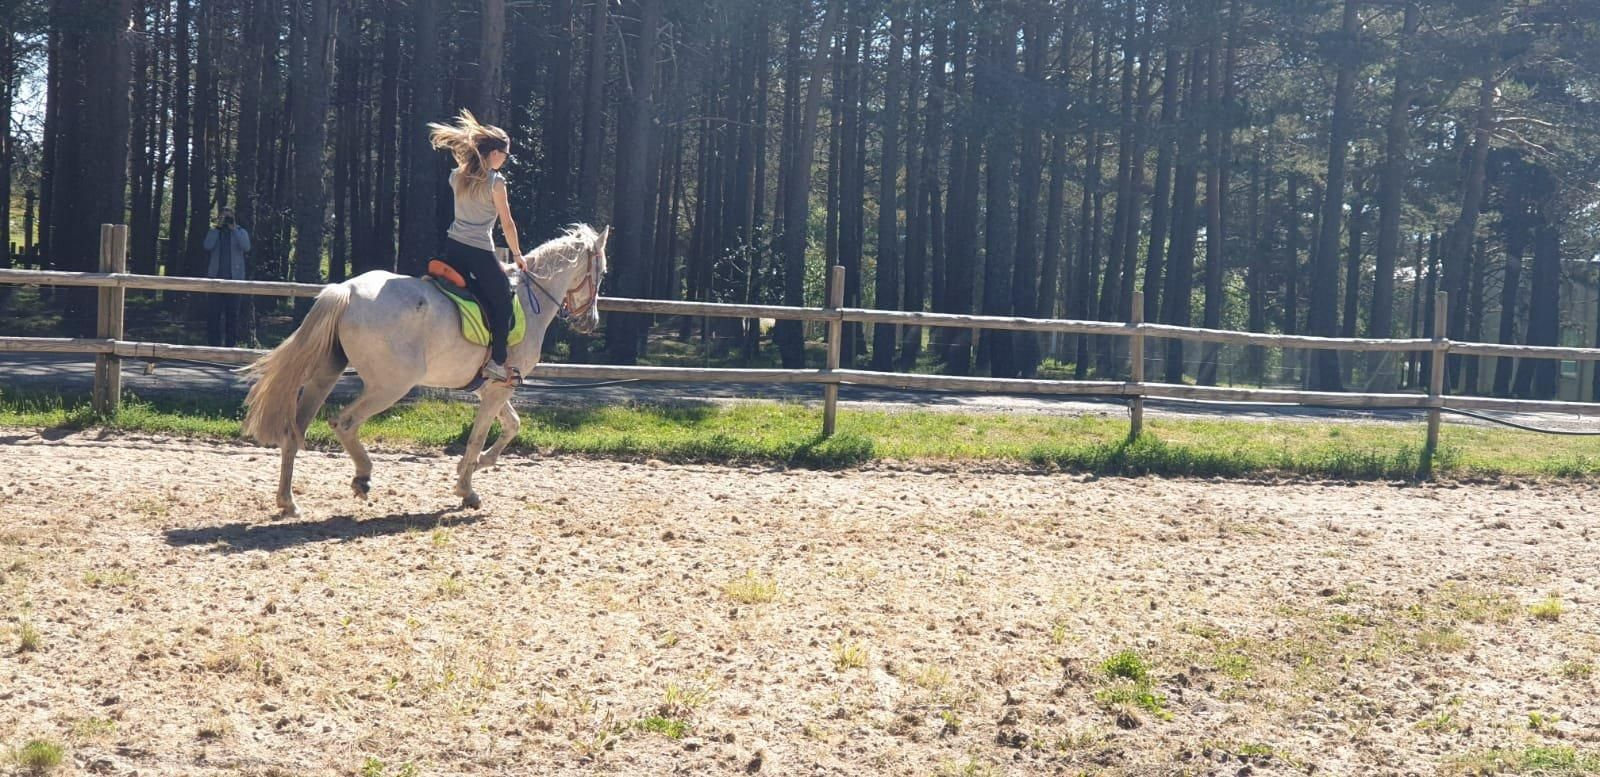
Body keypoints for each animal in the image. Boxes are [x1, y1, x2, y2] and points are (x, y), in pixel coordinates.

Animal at [240, 224, 609, 517]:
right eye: (602, 272)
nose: (590, 322)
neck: (532, 303)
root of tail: (346, 291)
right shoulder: (498, 389)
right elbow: (478, 438)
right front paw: (467, 489)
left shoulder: (491, 387)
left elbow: (511, 426)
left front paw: (475, 467)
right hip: (390, 386)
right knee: (344, 423)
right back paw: (362, 477)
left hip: (325, 376)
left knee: (294, 432)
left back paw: (288, 503)